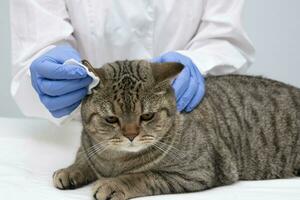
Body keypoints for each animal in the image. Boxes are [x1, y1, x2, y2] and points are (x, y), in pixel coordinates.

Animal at [52, 59, 300, 200]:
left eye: (147, 116)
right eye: (111, 119)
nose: (131, 135)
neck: (115, 161)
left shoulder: (196, 172)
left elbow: (143, 175)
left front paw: (114, 184)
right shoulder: (90, 147)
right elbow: (84, 159)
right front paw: (71, 170)